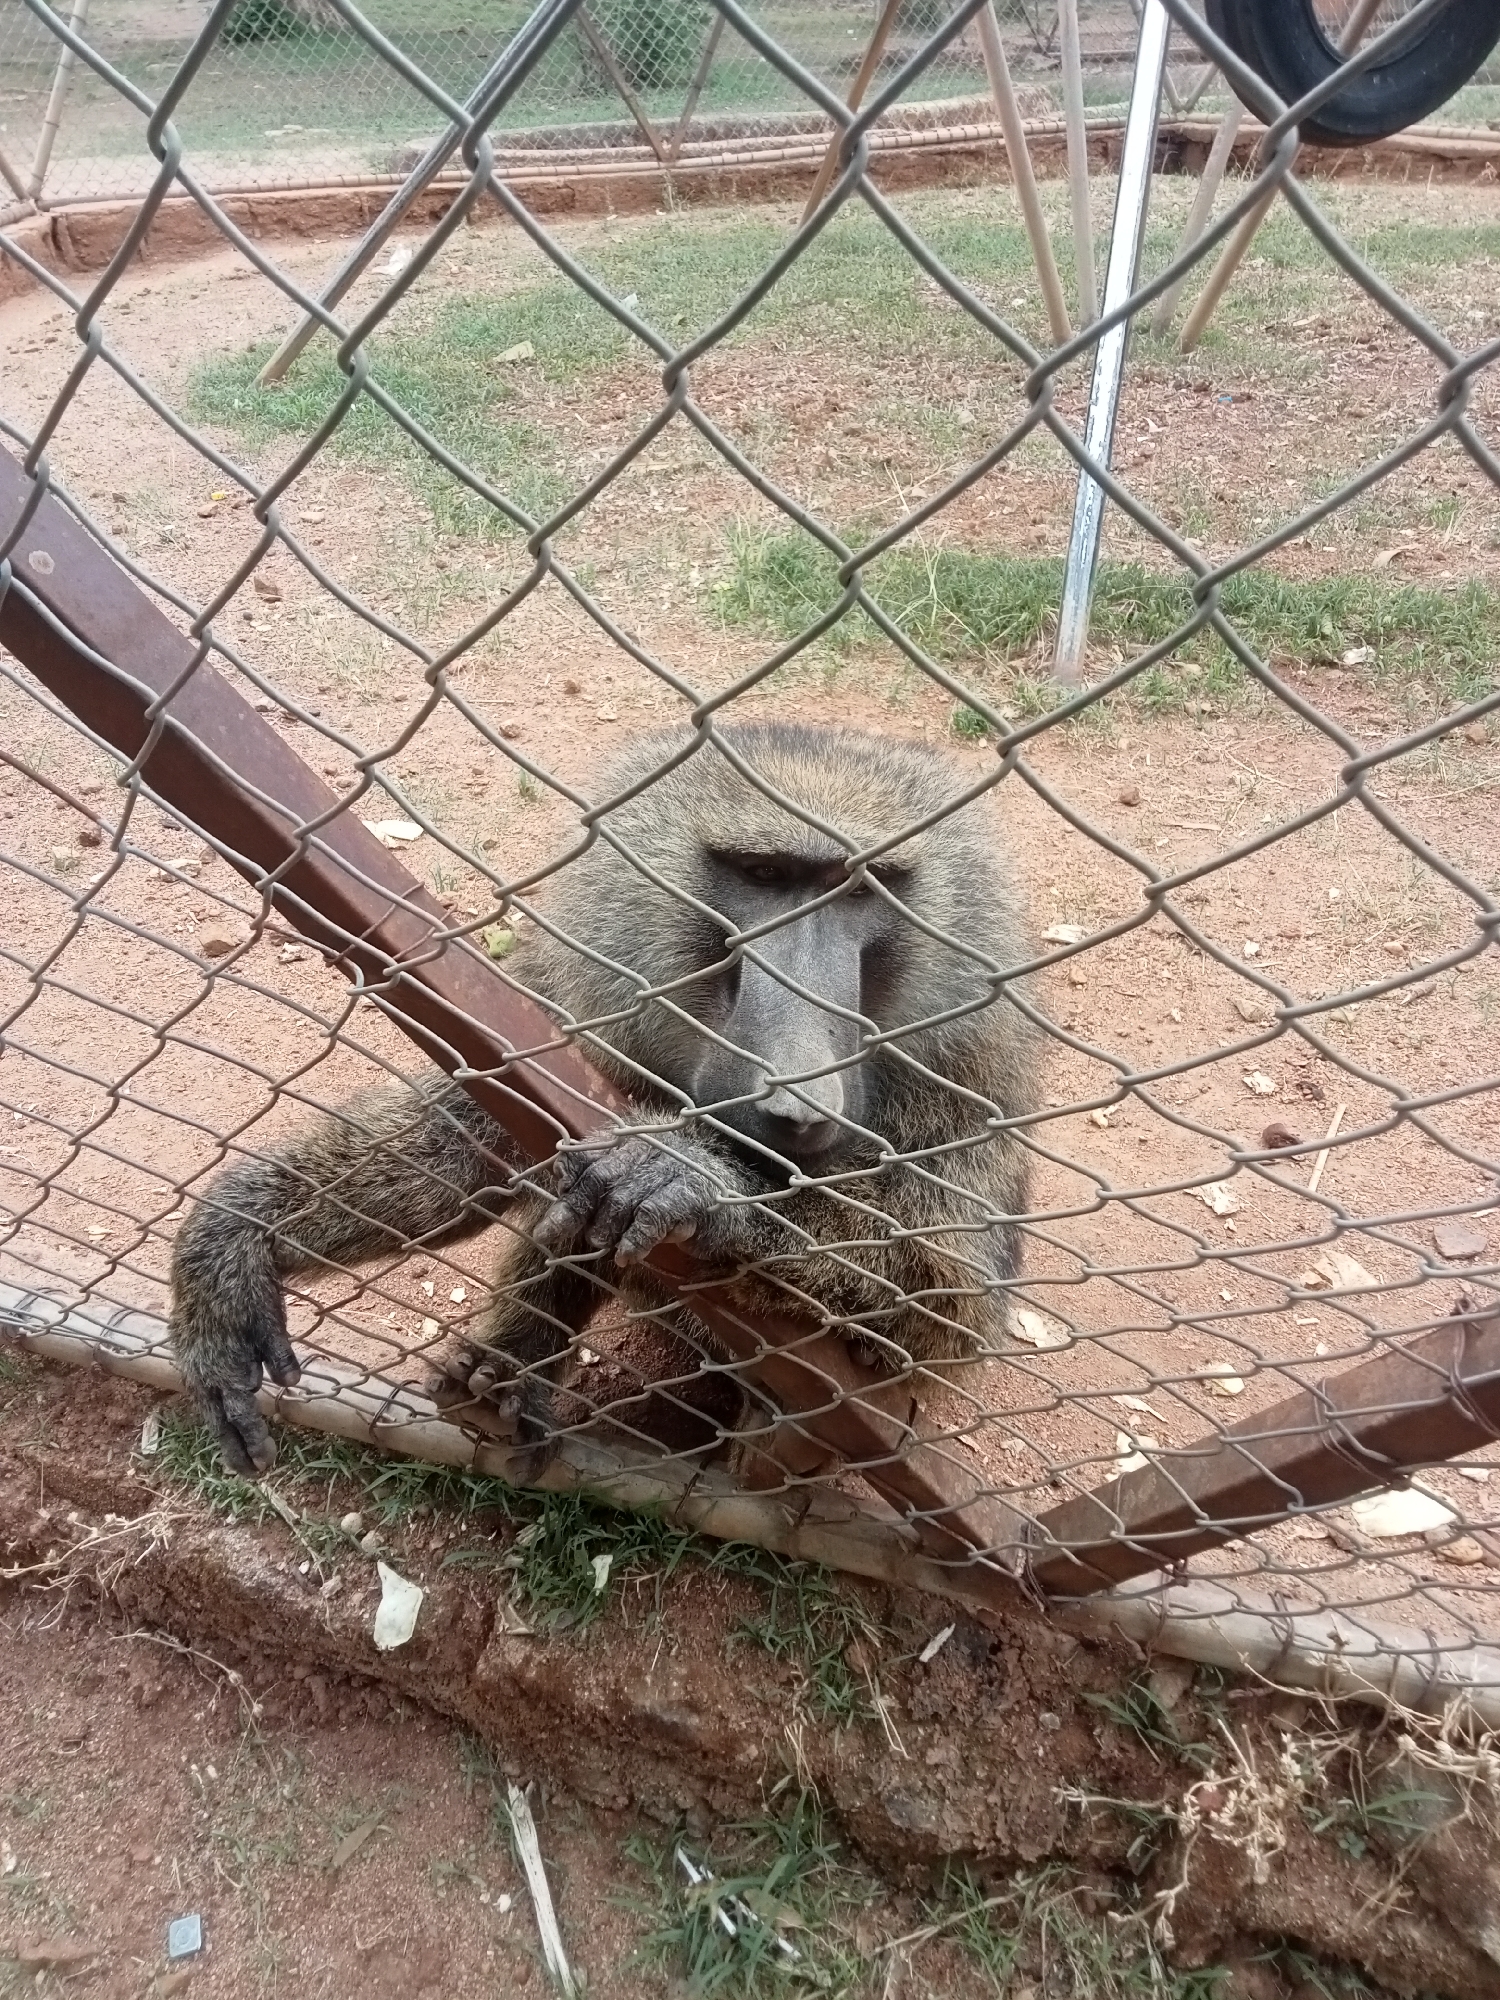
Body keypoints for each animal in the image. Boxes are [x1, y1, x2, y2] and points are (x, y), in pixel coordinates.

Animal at [169, 722, 1039, 1479]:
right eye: (765, 877)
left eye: (864, 891)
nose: (800, 1104)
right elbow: (476, 1142)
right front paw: (238, 1236)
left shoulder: (970, 1070)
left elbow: (944, 1301)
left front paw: (695, 1180)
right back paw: (502, 1383)